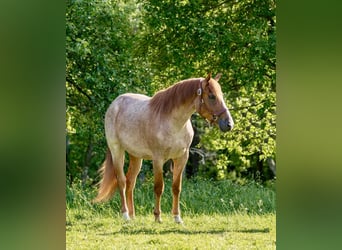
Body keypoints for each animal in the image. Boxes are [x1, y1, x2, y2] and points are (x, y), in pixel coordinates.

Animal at [94, 73, 235, 224]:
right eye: (212, 96)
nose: (229, 124)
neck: (174, 123)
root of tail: (115, 104)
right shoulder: (158, 159)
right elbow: (158, 187)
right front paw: (157, 217)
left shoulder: (181, 158)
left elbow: (176, 188)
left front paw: (177, 218)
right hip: (117, 151)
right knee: (122, 181)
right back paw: (126, 216)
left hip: (136, 156)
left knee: (130, 182)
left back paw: (133, 216)